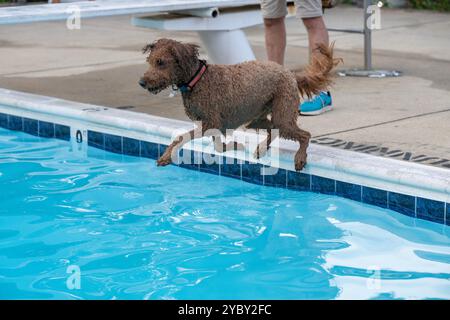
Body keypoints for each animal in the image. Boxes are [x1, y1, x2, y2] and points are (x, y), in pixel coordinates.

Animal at [139, 38, 340, 171]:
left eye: (161, 62)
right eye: (149, 62)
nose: (142, 82)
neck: (196, 80)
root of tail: (290, 74)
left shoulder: (211, 123)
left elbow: (181, 138)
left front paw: (166, 156)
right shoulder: (215, 126)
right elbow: (218, 147)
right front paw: (235, 146)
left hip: (283, 114)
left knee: (304, 135)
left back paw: (300, 158)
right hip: (257, 118)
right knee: (272, 129)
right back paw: (262, 148)